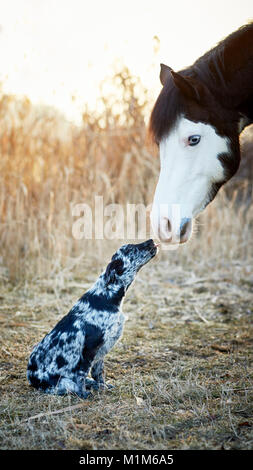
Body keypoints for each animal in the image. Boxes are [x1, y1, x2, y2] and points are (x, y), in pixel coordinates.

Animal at [27, 241, 158, 398]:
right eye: (131, 249)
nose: (151, 240)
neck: (106, 297)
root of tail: (31, 378)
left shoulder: (101, 350)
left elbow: (98, 373)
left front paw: (102, 386)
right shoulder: (89, 348)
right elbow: (81, 374)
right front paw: (83, 393)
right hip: (64, 383)